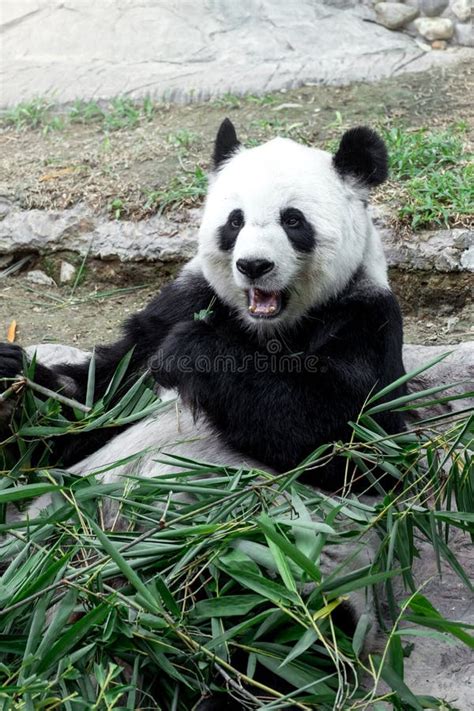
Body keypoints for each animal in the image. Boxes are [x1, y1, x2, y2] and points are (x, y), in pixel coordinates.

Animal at [0, 119, 408, 708]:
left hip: (289, 559)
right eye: (233, 222)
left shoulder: (366, 320)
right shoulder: (180, 300)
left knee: (268, 621)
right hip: (51, 513)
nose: (253, 266)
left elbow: (356, 447)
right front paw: (16, 384)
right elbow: (98, 402)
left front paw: (193, 353)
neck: (266, 326)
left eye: (293, 220)